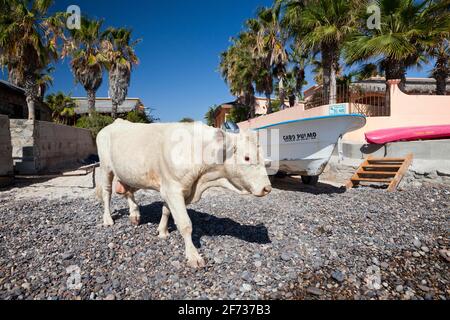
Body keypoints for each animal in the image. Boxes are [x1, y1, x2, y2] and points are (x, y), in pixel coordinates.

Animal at [96, 120, 270, 268]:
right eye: (247, 158)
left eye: (264, 159)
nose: (267, 188)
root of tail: (114, 123)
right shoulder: (173, 189)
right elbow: (185, 224)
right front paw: (193, 256)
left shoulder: (173, 189)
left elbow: (166, 211)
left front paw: (162, 231)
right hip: (105, 168)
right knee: (107, 193)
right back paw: (108, 219)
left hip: (129, 173)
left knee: (128, 192)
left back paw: (134, 215)